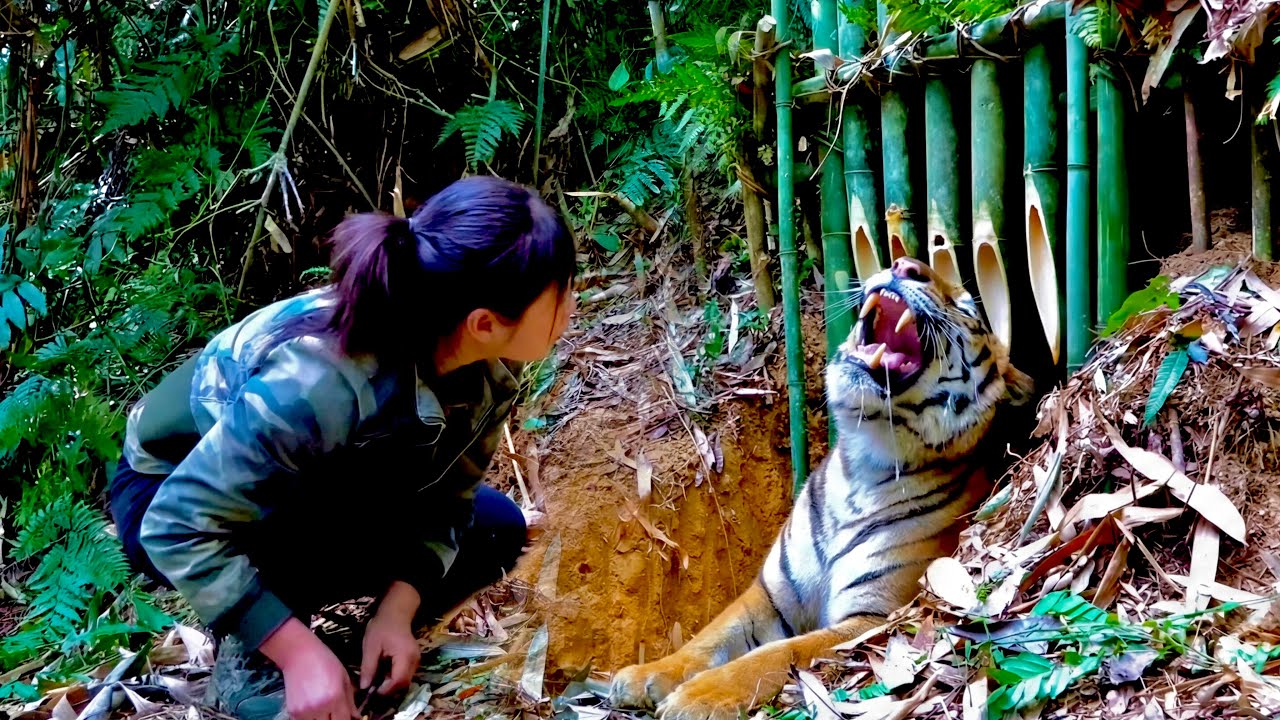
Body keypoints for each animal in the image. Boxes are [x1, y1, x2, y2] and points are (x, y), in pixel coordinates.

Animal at [609, 256, 1035, 720]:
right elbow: (710, 636)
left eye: (965, 307)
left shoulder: (870, 619)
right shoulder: (770, 595)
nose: (906, 265)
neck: (861, 470)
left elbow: (775, 655)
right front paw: (645, 676)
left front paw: (696, 697)